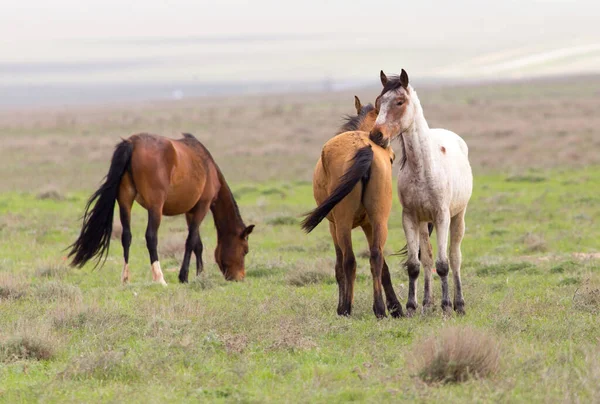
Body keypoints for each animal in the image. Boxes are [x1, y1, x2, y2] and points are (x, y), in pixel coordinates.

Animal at [68, 133, 255, 284]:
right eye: (245, 250)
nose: (239, 278)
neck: (208, 167)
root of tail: (132, 143)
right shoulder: (202, 206)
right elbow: (190, 241)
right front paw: (185, 276)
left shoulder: (190, 211)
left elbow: (197, 244)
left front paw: (199, 275)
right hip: (155, 207)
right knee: (151, 237)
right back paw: (159, 278)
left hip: (125, 201)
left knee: (126, 236)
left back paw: (125, 279)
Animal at [300, 97, 404, 318]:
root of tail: (364, 148)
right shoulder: (369, 224)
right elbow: (383, 265)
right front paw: (395, 307)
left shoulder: (333, 226)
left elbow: (339, 267)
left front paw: (342, 306)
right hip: (379, 220)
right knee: (376, 257)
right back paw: (380, 309)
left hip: (343, 223)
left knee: (349, 261)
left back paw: (347, 308)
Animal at [370, 69, 474, 316]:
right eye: (379, 103)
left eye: (400, 101)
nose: (376, 135)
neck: (423, 168)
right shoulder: (409, 217)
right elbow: (415, 265)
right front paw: (411, 306)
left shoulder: (442, 216)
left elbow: (443, 264)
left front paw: (446, 306)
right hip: (424, 224)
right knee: (427, 258)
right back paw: (427, 303)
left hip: (458, 217)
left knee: (455, 258)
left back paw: (458, 303)